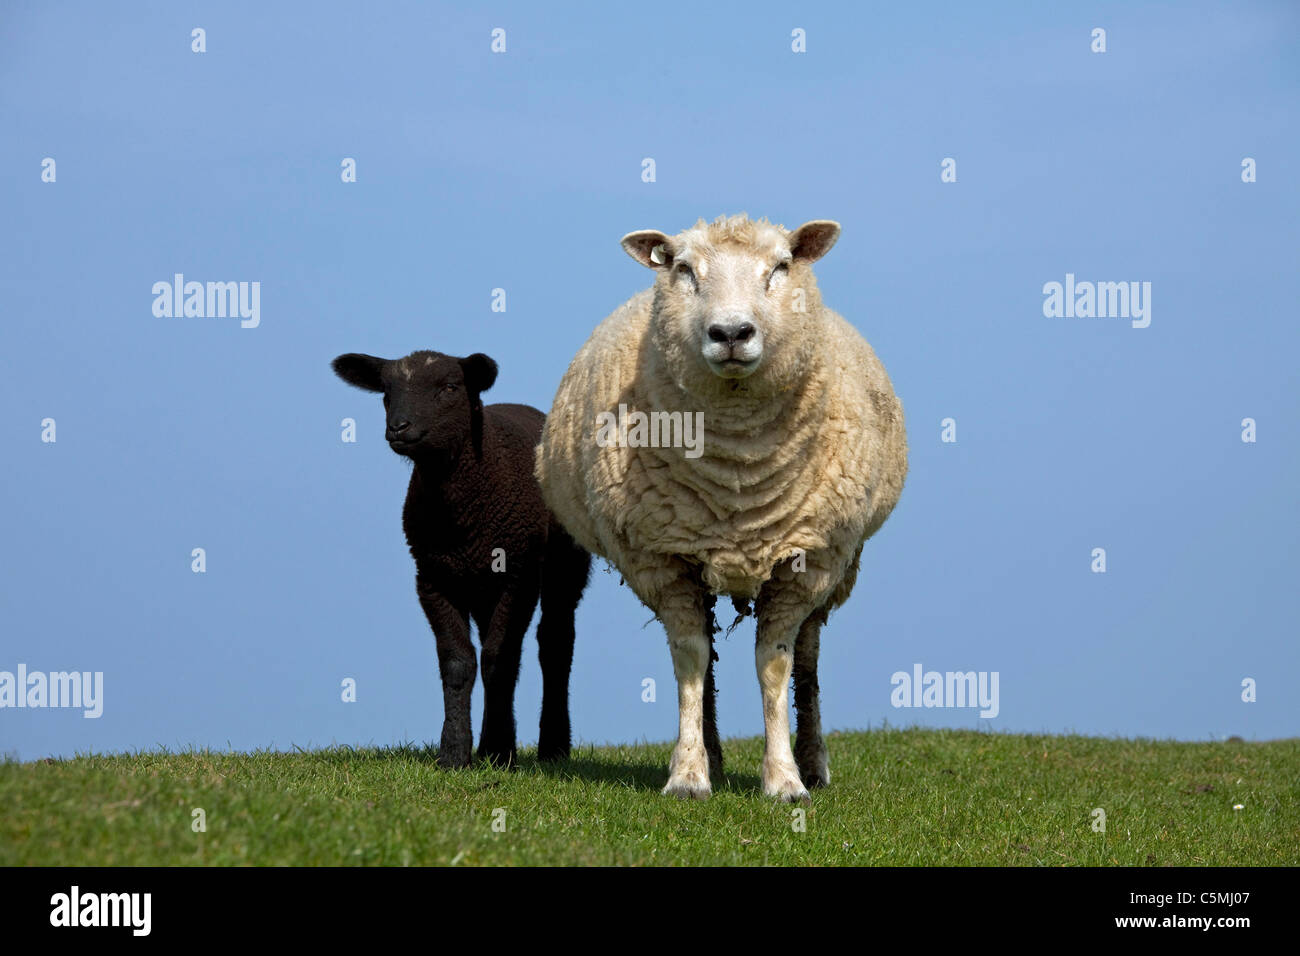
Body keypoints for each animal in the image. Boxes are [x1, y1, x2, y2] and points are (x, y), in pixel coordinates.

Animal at [535, 214, 904, 801]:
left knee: (809, 656)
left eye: (780, 266)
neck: (738, 471)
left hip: (838, 565)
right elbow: (690, 658)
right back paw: (711, 753)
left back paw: (814, 762)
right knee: (707, 653)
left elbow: (775, 665)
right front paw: (688, 774)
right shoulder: (662, 560)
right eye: (684, 270)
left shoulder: (804, 563)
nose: (731, 333)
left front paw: (784, 780)